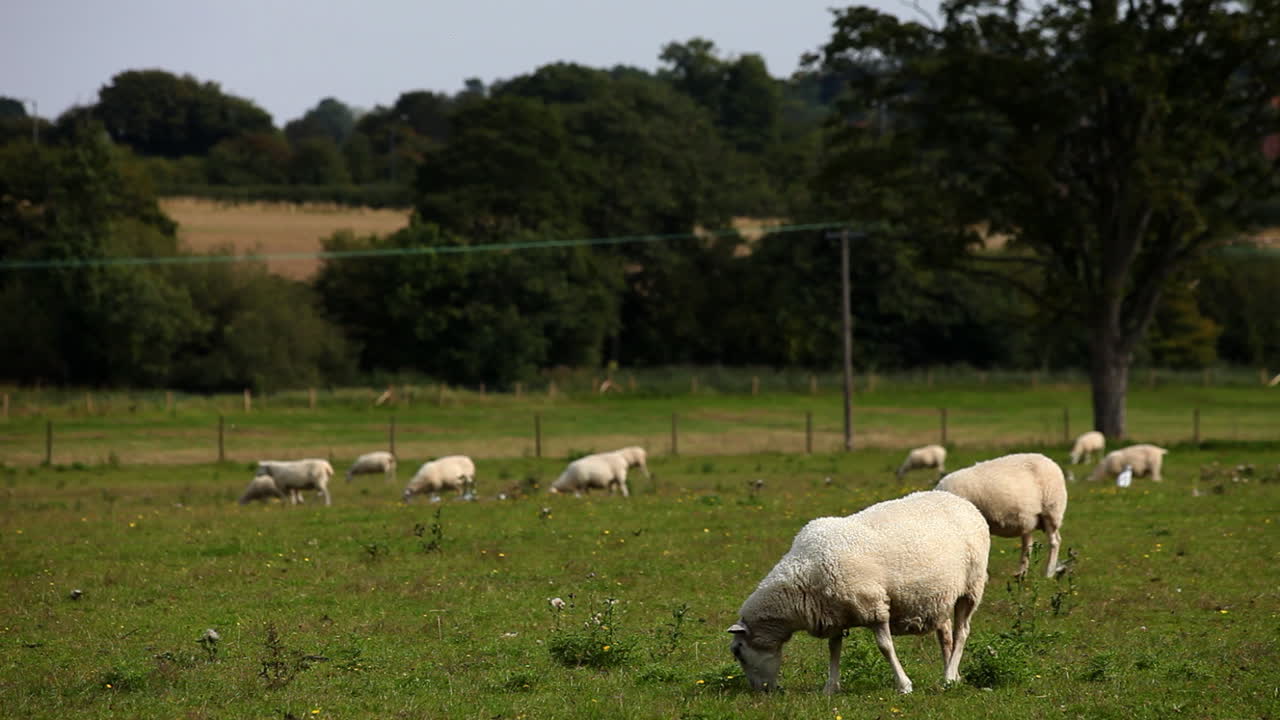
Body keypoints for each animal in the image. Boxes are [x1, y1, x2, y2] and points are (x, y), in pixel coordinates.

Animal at [728, 490, 989, 695]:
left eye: (737, 651)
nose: (759, 691)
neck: (803, 578)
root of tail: (963, 502)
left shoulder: (873, 606)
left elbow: (885, 647)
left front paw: (904, 685)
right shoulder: (833, 613)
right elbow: (833, 649)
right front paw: (831, 687)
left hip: (972, 587)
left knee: (962, 632)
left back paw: (949, 677)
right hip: (939, 596)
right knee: (945, 634)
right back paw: (952, 674)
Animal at [935, 452, 1067, 578]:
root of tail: (1050, 461)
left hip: (1051, 509)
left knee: (1054, 541)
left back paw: (1048, 573)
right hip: (1029, 519)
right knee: (1028, 545)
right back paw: (1021, 574)